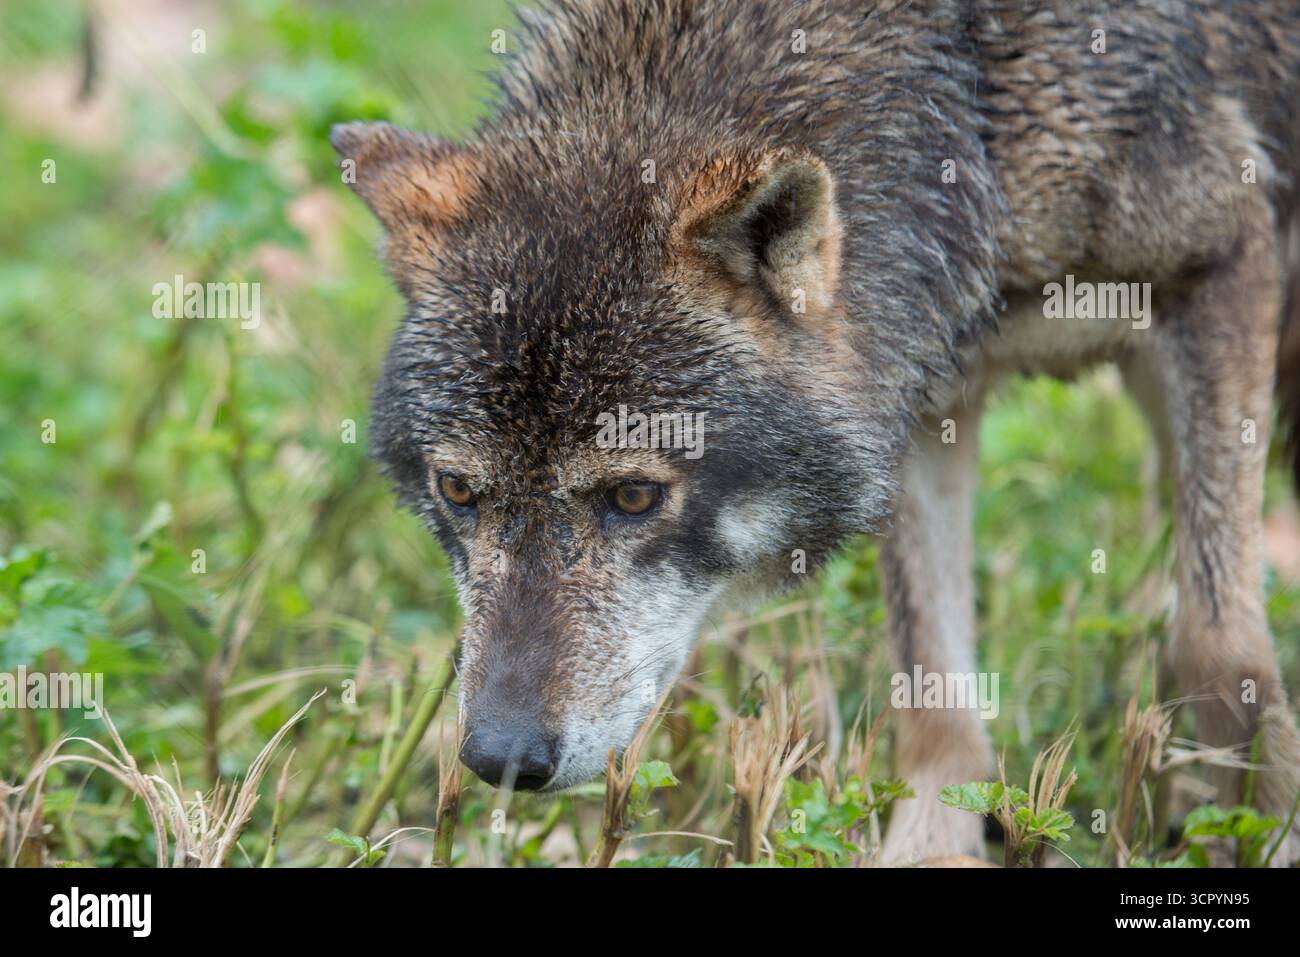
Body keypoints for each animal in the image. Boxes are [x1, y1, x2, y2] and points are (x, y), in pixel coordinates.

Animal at [332, 0, 1300, 864]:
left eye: (634, 495)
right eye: (459, 490)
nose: (501, 757)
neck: (968, 92)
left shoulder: (1222, 267)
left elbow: (1221, 648)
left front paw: (1267, 830)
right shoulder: (922, 391)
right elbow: (932, 687)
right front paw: (930, 849)